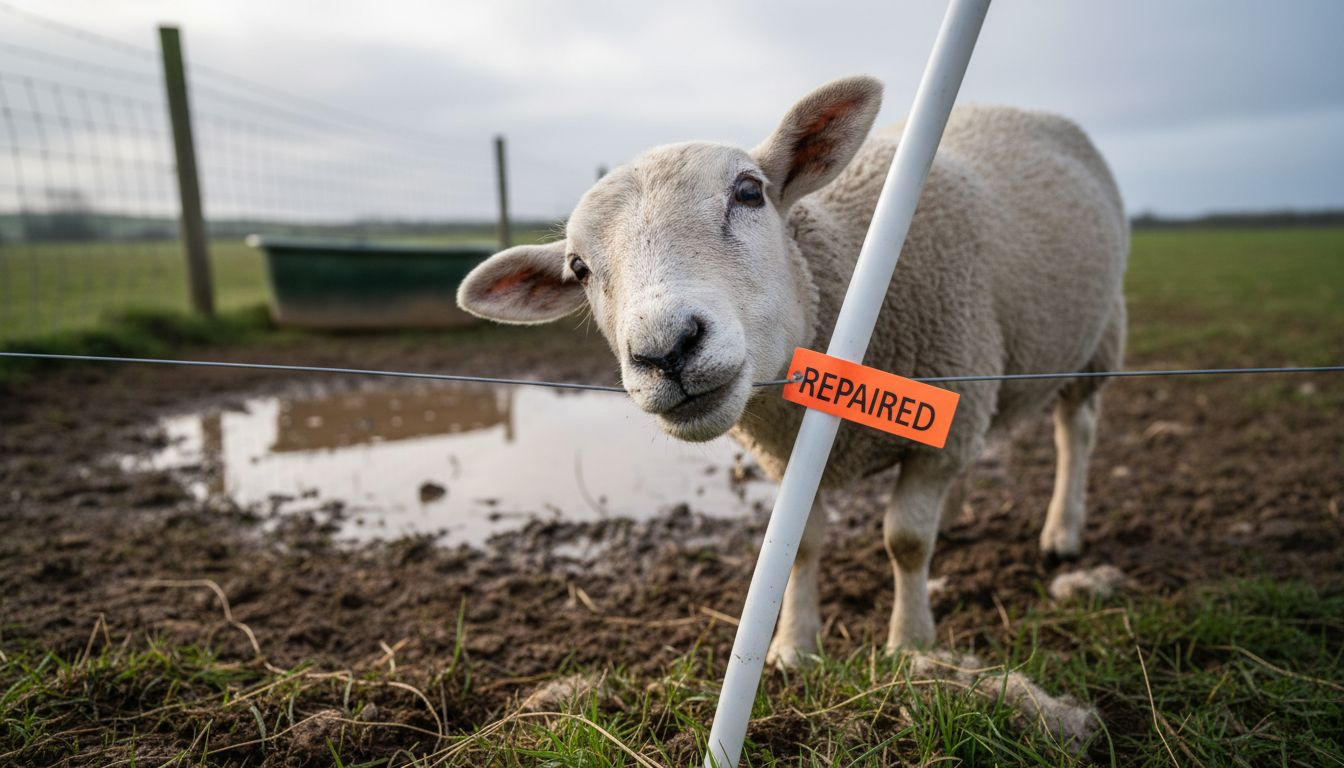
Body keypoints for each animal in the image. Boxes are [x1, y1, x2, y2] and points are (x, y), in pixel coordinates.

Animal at [457, 75, 1128, 665]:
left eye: (750, 192)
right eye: (578, 269)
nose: (666, 350)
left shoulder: (942, 418)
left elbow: (906, 542)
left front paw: (911, 644)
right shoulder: (790, 458)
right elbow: (798, 547)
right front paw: (793, 648)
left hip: (1100, 338)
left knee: (1077, 430)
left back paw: (1063, 533)